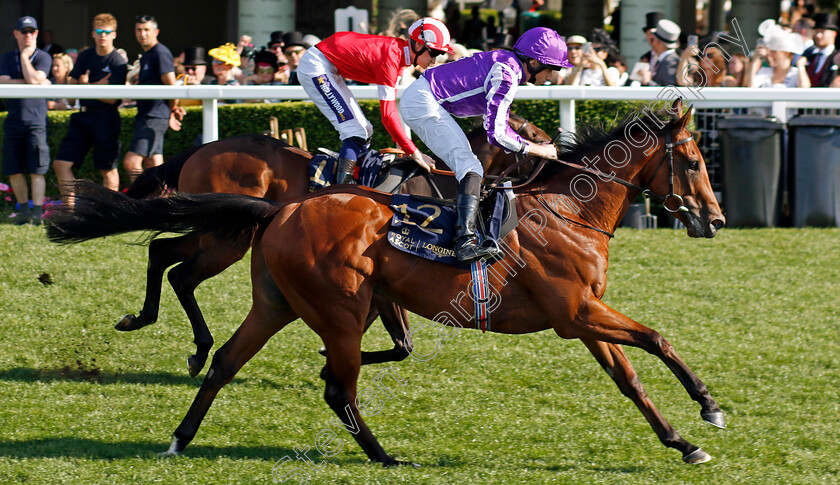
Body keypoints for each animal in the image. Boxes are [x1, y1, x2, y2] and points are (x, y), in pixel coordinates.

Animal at [120, 112, 552, 374]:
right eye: (532, 134)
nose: (555, 148)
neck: (443, 183)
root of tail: (201, 149)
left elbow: (393, 337)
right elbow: (398, 341)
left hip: (219, 233)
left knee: (163, 256)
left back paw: (151, 324)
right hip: (224, 239)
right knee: (180, 272)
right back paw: (192, 344)